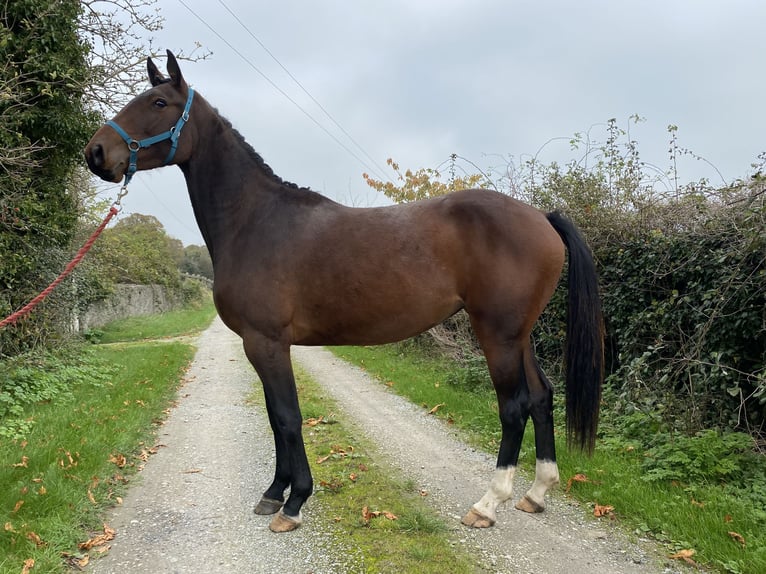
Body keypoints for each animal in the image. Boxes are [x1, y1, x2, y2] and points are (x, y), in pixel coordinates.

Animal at [85, 51, 604, 533]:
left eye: (158, 102)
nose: (96, 153)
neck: (255, 221)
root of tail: (541, 217)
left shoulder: (266, 341)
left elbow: (288, 417)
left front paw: (294, 503)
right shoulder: (262, 345)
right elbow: (274, 417)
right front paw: (274, 492)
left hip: (497, 334)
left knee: (514, 407)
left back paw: (488, 504)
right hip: (520, 334)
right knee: (541, 397)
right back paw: (536, 493)